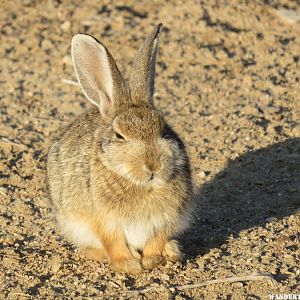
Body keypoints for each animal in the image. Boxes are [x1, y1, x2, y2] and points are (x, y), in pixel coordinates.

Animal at [47, 24, 192, 274]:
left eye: (164, 130)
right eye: (119, 136)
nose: (153, 165)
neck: (142, 185)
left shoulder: (167, 219)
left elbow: (156, 240)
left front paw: (152, 260)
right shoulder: (104, 220)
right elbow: (113, 242)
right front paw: (129, 265)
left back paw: (172, 251)